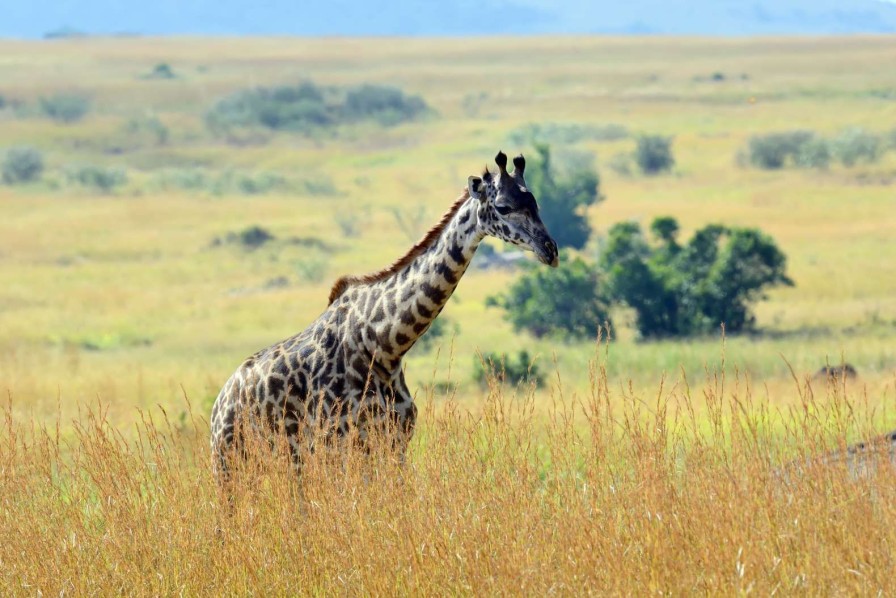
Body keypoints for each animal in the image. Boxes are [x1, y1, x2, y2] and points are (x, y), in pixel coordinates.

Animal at [211, 151, 560, 482]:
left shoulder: (395, 442)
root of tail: (219, 403)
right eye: (503, 207)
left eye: (535, 202)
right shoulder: (340, 444)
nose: (550, 250)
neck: (386, 345)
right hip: (230, 464)